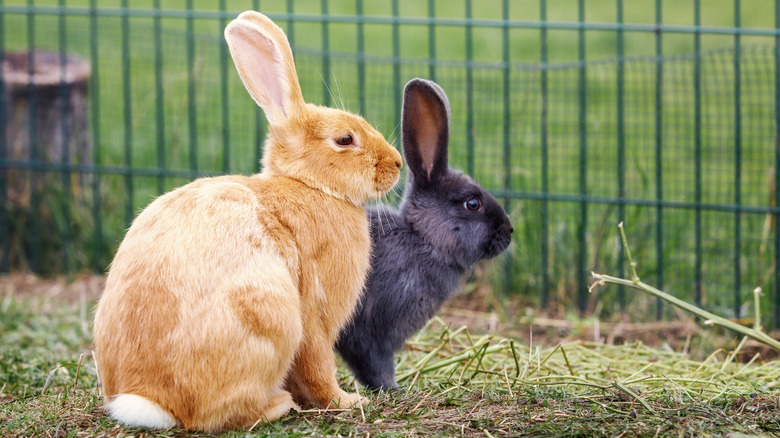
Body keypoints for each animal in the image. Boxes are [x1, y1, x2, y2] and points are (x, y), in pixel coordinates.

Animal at [91, 10, 402, 432]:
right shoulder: (314, 316)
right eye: (344, 139)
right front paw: (348, 401)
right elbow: (317, 365)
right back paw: (278, 405)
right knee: (221, 414)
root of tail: (153, 399)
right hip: (272, 315)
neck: (310, 185)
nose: (397, 164)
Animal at [334, 78, 512, 390]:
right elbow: (374, 364)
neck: (423, 240)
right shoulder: (372, 330)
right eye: (473, 203)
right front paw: (393, 388)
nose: (509, 231)